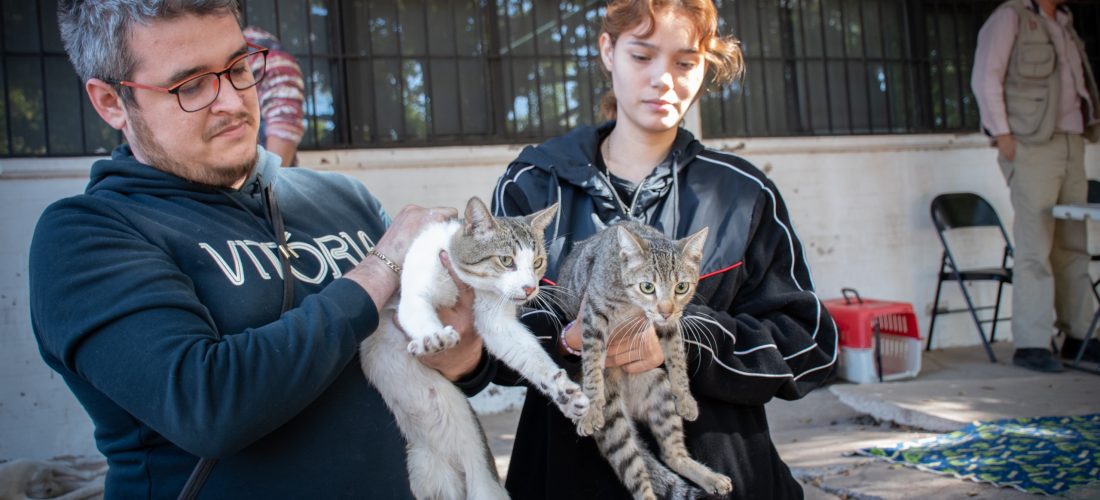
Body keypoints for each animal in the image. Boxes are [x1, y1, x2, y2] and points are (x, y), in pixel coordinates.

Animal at [356, 197, 589, 498]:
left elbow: (531, 357)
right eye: (506, 260)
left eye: (537, 262)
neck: (463, 283)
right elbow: (418, 312)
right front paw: (433, 337)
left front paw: (562, 391)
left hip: (484, 485)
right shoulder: (415, 289)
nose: (530, 289)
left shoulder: (497, 323)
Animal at [558, 220, 730, 500]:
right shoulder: (592, 316)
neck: (632, 306)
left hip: (661, 395)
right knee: (637, 475)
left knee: (671, 456)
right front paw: (592, 408)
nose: (665, 309)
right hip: (614, 423)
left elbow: (677, 359)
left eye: (681, 287)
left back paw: (710, 477)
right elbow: (592, 365)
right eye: (647, 287)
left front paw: (685, 397)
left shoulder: (670, 325)